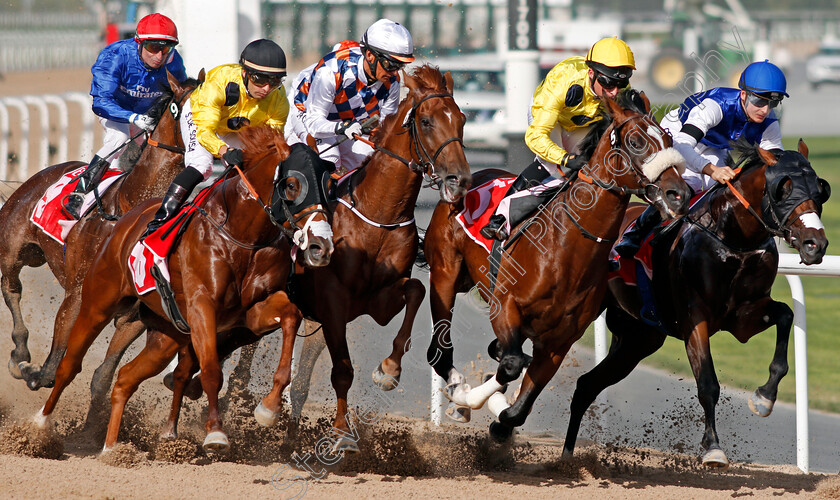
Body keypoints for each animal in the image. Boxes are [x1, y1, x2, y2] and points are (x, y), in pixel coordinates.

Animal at [0, 69, 199, 398]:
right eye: (187, 111)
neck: (131, 210)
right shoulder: (78, 295)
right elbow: (52, 369)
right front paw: (31, 371)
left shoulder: (135, 316)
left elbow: (102, 377)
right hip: (14, 247)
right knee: (11, 287)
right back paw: (19, 353)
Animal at [32, 125, 334, 454]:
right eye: (292, 184)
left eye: (329, 184)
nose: (321, 246)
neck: (242, 236)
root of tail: (126, 218)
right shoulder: (202, 308)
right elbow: (212, 368)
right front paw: (216, 433)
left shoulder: (250, 313)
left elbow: (291, 317)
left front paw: (269, 408)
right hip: (96, 303)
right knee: (69, 364)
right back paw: (39, 425)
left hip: (165, 334)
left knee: (125, 378)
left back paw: (112, 449)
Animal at [424, 90, 692, 442]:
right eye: (635, 142)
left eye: (669, 139)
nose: (679, 195)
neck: (564, 253)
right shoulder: (505, 307)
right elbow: (511, 364)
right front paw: (466, 399)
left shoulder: (558, 341)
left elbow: (517, 408)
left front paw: (498, 417)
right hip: (445, 273)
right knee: (439, 351)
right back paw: (457, 390)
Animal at [560, 139, 832, 466]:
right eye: (785, 189)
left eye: (819, 190)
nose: (815, 244)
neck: (733, 240)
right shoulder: (694, 316)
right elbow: (707, 383)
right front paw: (713, 447)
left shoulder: (744, 315)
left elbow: (786, 315)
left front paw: (764, 397)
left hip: (639, 338)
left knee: (586, 385)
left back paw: (566, 456)